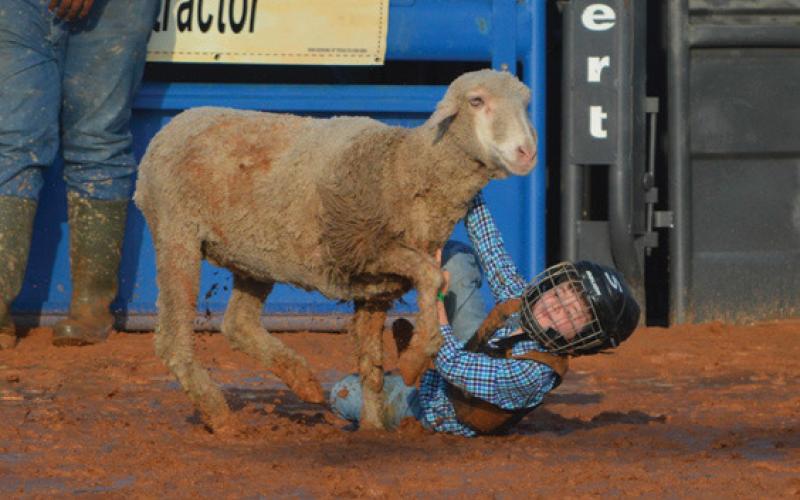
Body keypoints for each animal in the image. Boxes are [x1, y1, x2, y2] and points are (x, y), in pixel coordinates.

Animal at [133, 69, 538, 432]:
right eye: (476, 101)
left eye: (526, 102)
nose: (527, 152)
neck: (402, 168)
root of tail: (173, 125)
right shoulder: (364, 250)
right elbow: (432, 274)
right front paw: (418, 356)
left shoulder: (377, 287)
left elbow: (371, 366)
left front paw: (373, 428)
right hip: (176, 233)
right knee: (172, 340)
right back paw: (220, 416)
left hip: (254, 256)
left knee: (238, 324)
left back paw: (303, 381)